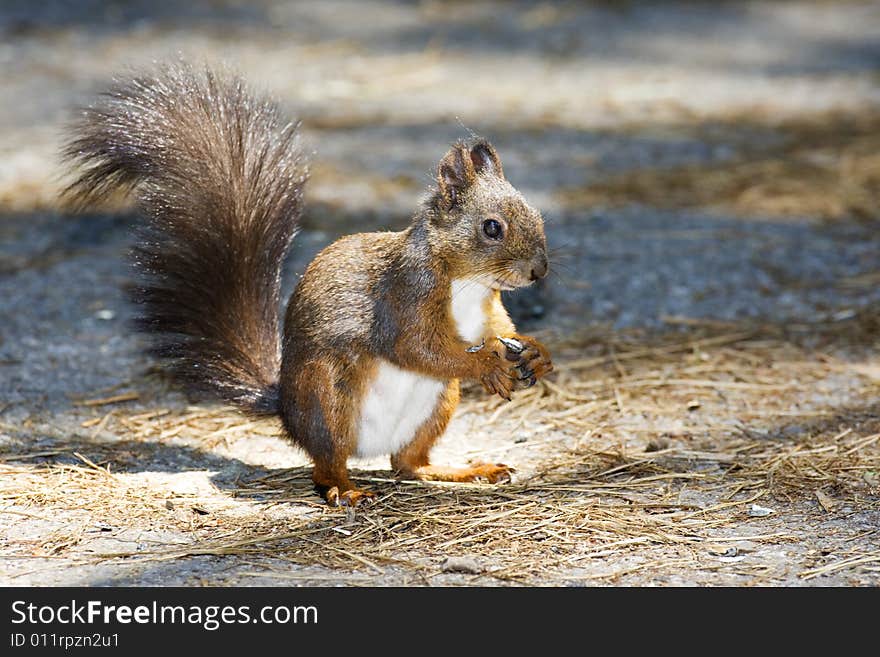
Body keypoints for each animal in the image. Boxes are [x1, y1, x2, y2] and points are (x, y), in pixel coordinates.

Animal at [65, 62, 552, 508]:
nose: (539, 271)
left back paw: (466, 470)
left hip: (438, 402)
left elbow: (498, 328)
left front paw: (535, 352)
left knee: (408, 465)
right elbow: (414, 346)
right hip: (327, 392)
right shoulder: (404, 294)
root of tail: (286, 408)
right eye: (492, 228)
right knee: (326, 463)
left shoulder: (486, 309)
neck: (468, 282)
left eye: (537, 215)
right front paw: (486, 364)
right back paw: (346, 489)